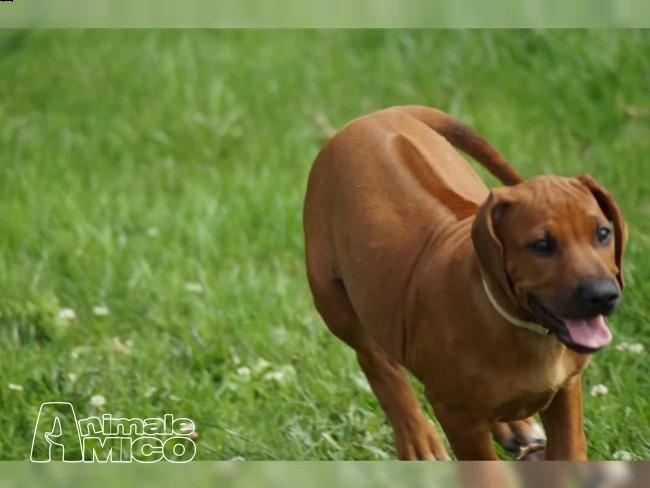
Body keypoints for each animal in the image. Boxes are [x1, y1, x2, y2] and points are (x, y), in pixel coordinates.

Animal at [304, 104, 628, 462]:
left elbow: (569, 451)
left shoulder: (566, 388)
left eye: (603, 233)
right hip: (331, 298)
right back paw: (418, 440)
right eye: (541, 246)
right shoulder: (455, 415)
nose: (603, 296)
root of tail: (378, 115)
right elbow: (486, 468)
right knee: (376, 360)